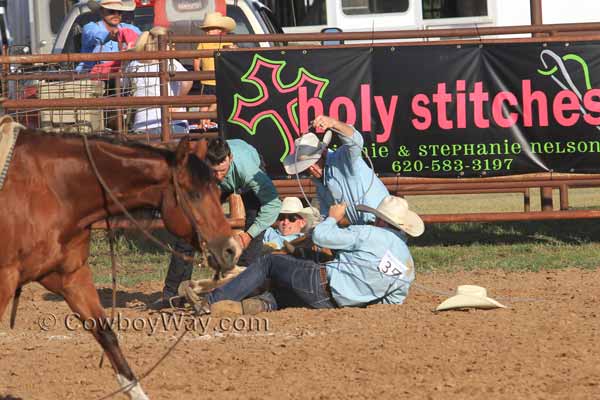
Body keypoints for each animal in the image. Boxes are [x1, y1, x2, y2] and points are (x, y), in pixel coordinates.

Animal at [0, 117, 241, 398]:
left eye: (217, 190)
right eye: (194, 193)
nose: (231, 249)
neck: (50, 189)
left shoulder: (71, 276)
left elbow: (106, 335)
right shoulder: (5, 279)